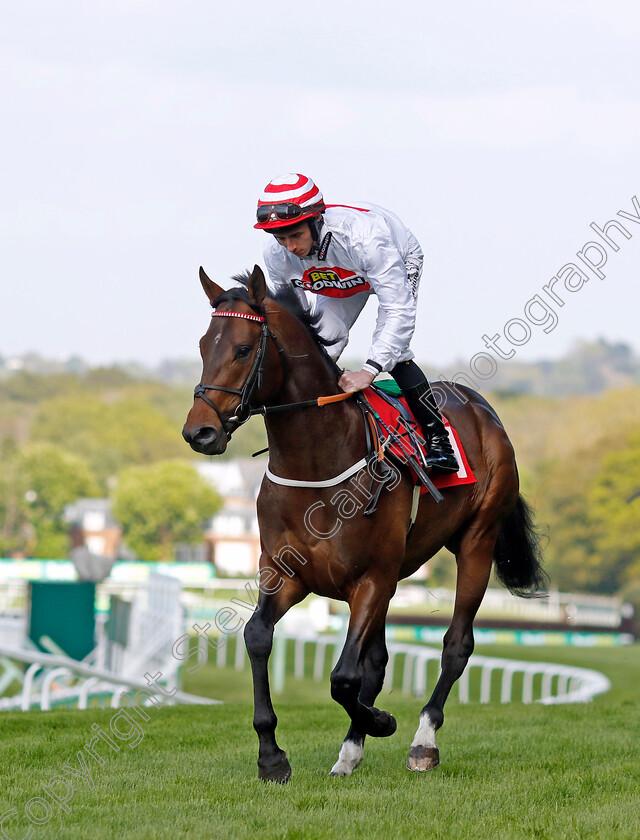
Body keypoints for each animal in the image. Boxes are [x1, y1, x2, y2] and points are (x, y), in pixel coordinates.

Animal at [182, 264, 544, 780]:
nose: (200, 431)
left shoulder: (370, 579)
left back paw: (422, 741)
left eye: (243, 349)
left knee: (456, 645)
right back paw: (351, 751)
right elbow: (258, 638)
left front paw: (382, 721)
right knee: (379, 659)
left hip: (476, 540)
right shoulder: (286, 574)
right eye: (202, 345)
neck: (317, 465)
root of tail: (483, 408)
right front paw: (272, 755)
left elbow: (343, 676)